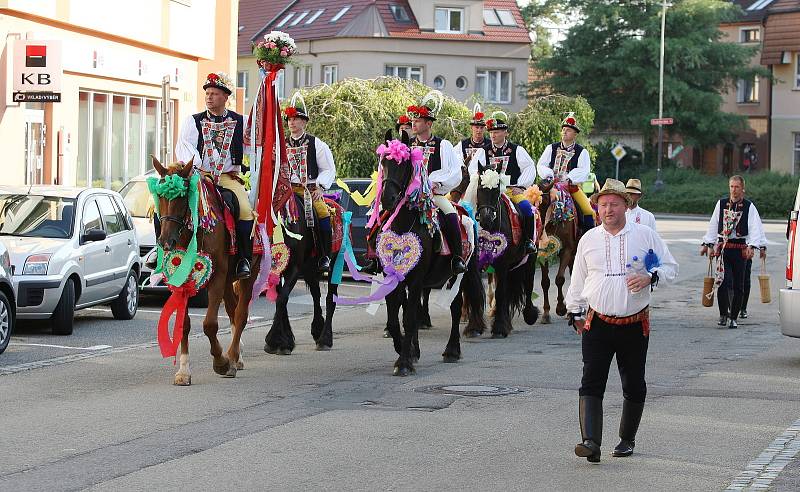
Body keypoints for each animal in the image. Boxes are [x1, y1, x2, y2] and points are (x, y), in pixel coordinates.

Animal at [152, 158, 260, 384]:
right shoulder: (181, 279)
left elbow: (210, 324)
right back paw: (237, 357)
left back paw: (233, 357)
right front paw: (184, 371)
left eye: (183, 197)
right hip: (229, 281)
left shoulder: (217, 276)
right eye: (160, 196)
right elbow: (183, 324)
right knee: (232, 310)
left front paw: (221, 362)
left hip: (249, 274)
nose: (166, 242)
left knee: (240, 314)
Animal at [378, 129, 484, 374]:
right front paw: (405, 351)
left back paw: (452, 350)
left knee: (456, 308)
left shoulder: (416, 279)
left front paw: (404, 363)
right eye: (383, 162)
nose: (388, 199)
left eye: (404, 164)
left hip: (458, 276)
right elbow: (395, 319)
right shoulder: (394, 277)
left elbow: (409, 318)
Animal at [476, 165, 536, 338]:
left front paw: (499, 328)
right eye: (480, 188)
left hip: (530, 259)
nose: (486, 218)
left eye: (496, 190)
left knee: (528, 285)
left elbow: (501, 293)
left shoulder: (502, 264)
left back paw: (530, 315)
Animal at [540, 183, 580, 324]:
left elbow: (559, 279)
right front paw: (546, 313)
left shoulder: (567, 250)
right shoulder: (543, 253)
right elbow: (545, 282)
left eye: (544, 203)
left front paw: (561, 308)